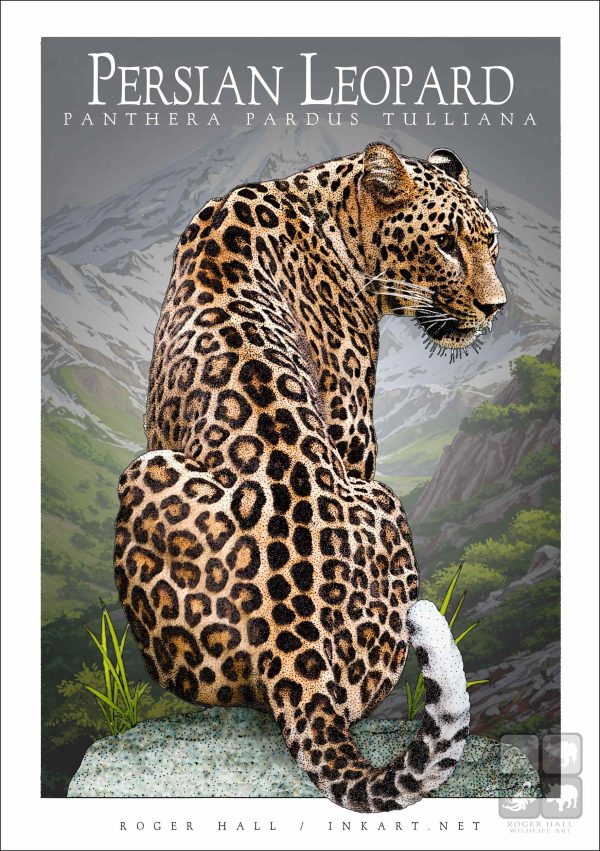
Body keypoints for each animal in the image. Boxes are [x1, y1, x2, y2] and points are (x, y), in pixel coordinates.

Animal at [114, 142, 506, 812]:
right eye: (447, 245)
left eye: (492, 243)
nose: (495, 308)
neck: (325, 203)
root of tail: (291, 649)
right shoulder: (351, 433)